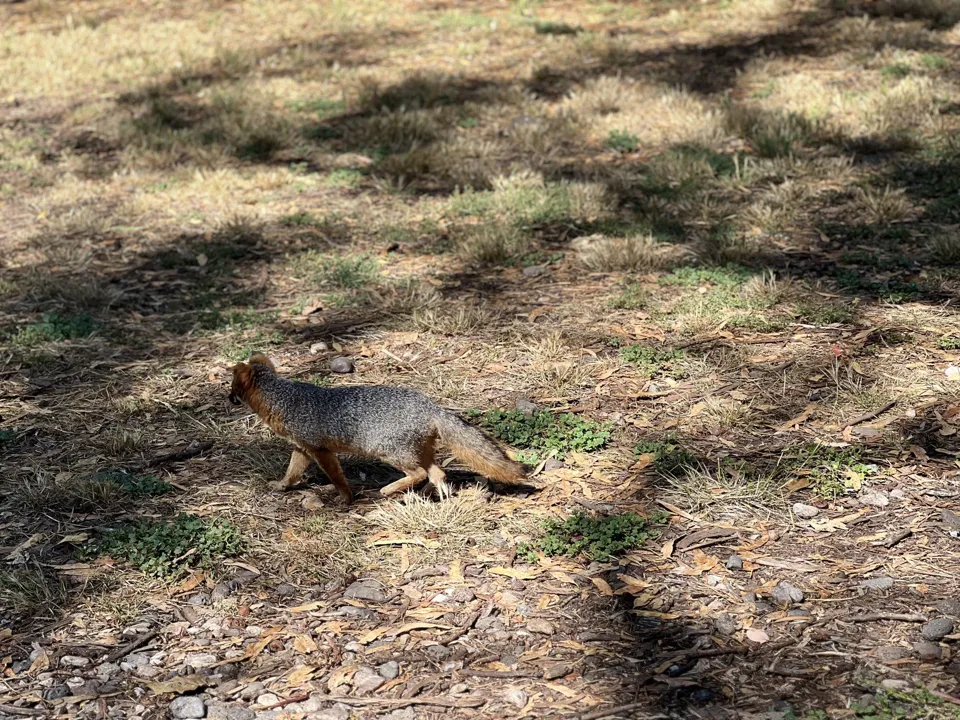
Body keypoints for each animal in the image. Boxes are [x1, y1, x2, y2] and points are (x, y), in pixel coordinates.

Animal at [228, 353, 526, 504]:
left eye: (232, 389)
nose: (227, 400)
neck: (283, 399)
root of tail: (431, 406)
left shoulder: (321, 450)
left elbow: (337, 477)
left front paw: (345, 499)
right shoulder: (302, 448)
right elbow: (291, 473)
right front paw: (281, 486)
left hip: (389, 452)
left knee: (420, 473)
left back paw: (388, 490)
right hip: (418, 452)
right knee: (437, 473)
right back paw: (434, 496)